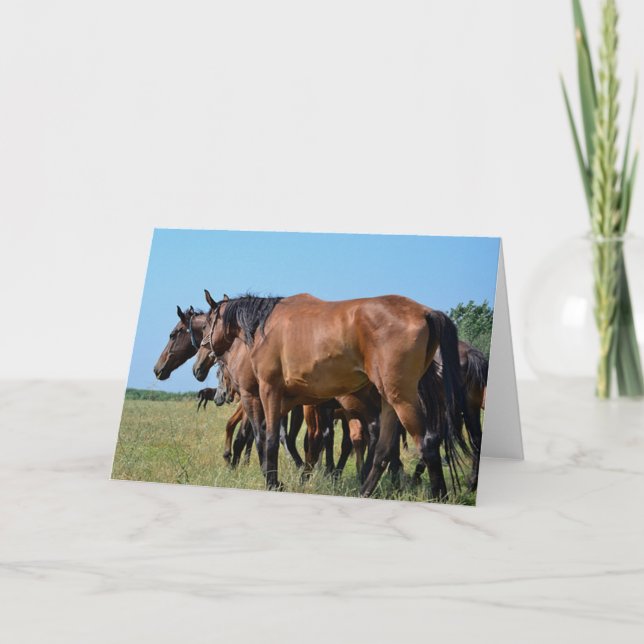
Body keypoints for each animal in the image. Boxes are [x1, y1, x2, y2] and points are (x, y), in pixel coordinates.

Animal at [195, 291, 467, 500]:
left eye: (206, 324)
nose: (197, 366)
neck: (266, 328)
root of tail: (425, 312)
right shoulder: (290, 401)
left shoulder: (268, 392)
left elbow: (269, 438)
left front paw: (273, 483)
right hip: (389, 400)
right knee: (383, 449)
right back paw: (364, 491)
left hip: (401, 399)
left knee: (427, 443)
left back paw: (438, 495)